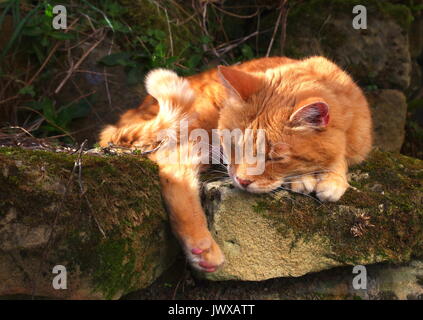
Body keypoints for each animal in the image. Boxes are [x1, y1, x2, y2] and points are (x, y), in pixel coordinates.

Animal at [97, 57, 372, 272]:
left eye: (273, 158)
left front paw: (332, 177)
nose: (242, 180)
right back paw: (201, 247)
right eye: (234, 147)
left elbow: (340, 154)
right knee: (172, 165)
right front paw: (307, 179)